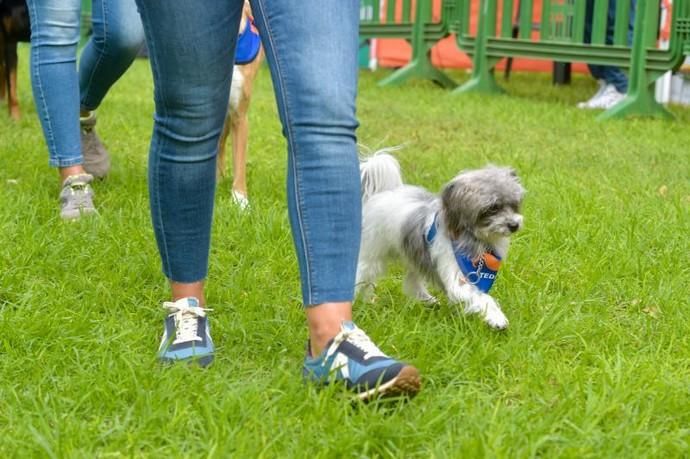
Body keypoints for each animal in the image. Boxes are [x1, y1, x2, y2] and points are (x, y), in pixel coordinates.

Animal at [358, 153, 524, 328]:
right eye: (493, 208)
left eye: (514, 204)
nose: (514, 225)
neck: (474, 238)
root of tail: (381, 193)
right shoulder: (459, 276)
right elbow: (481, 297)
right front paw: (496, 316)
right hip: (372, 256)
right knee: (363, 277)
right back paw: (363, 302)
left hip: (414, 253)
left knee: (412, 281)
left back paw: (426, 300)